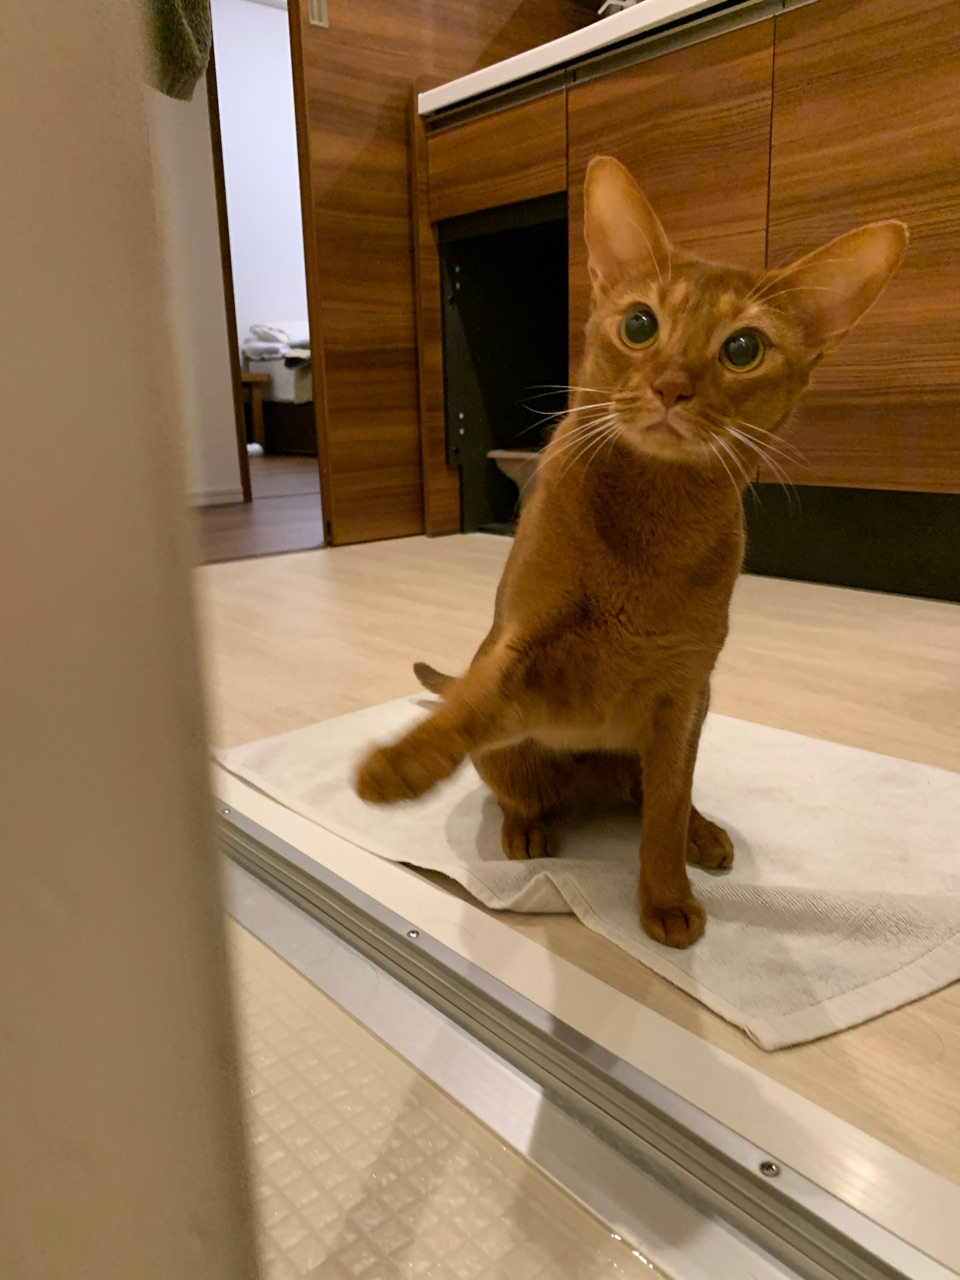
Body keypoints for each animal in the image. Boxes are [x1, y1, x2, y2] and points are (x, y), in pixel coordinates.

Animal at [355, 155, 907, 949]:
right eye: (640, 325)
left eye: (743, 349)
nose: (671, 386)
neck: (653, 519)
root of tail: (594, 785)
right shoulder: (522, 648)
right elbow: (471, 704)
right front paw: (397, 766)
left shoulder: (683, 693)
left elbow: (666, 809)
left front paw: (666, 897)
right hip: (513, 759)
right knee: (518, 783)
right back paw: (525, 830)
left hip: (692, 719)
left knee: (653, 796)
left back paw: (703, 833)